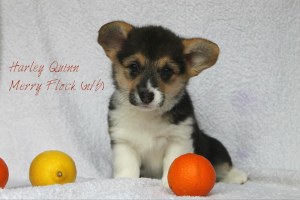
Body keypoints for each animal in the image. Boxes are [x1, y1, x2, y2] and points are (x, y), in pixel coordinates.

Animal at [97, 20, 247, 188]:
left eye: (167, 71)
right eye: (134, 66)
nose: (146, 96)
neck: (148, 116)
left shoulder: (179, 139)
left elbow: (173, 163)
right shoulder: (123, 142)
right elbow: (127, 167)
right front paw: (125, 182)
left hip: (214, 145)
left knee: (224, 163)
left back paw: (237, 176)